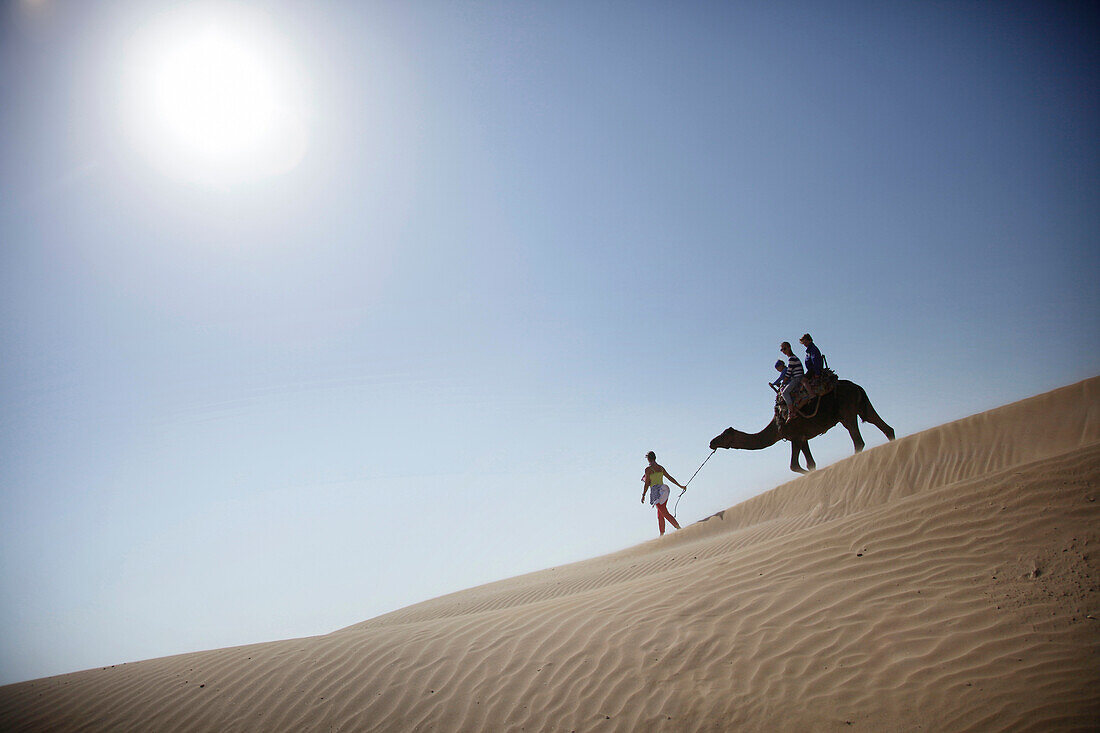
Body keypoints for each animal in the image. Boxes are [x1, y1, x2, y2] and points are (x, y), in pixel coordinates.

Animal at [712, 376, 893, 473]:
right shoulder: (803, 438)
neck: (776, 426)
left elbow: (794, 465)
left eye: (724, 435)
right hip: (861, 406)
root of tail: (856, 386)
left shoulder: (796, 437)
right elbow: (810, 463)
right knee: (884, 427)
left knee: (858, 441)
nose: (711, 442)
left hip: (847, 412)